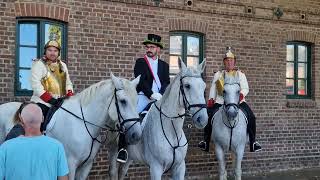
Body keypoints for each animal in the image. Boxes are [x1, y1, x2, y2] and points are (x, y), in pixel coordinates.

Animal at [0, 74, 142, 179]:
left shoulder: (86, 166)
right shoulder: (70, 164)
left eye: (137, 101)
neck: (83, 123)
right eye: (123, 101)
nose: (136, 135)